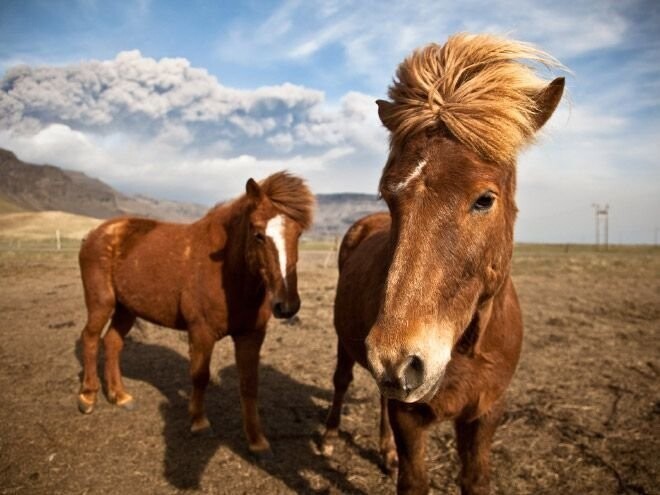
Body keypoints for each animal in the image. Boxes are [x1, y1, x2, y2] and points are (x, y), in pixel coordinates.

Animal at [76, 172, 314, 456]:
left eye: (298, 233)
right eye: (258, 234)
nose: (286, 305)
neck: (226, 273)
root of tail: (95, 233)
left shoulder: (251, 335)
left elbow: (249, 384)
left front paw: (257, 441)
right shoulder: (201, 332)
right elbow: (200, 376)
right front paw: (199, 422)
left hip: (126, 308)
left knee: (112, 342)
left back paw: (119, 396)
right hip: (101, 302)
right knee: (91, 338)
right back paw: (88, 397)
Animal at [322, 33, 564, 494]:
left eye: (485, 199)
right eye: (389, 195)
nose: (397, 360)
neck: (467, 347)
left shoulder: (485, 414)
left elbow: (475, 479)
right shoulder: (411, 418)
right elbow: (414, 480)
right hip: (347, 342)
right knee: (343, 380)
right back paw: (328, 438)